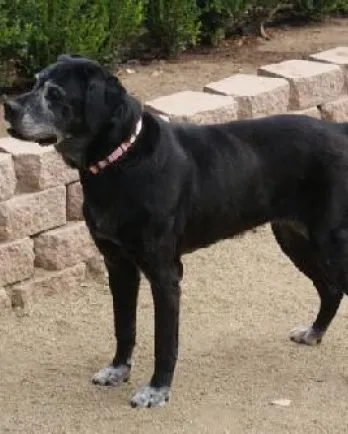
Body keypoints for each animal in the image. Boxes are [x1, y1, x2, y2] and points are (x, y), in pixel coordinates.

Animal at [4, 54, 348, 406]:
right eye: (35, 82)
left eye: (56, 93)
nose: (9, 107)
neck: (120, 160)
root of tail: (340, 129)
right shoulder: (118, 265)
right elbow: (124, 325)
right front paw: (117, 370)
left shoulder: (164, 273)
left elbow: (164, 341)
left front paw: (157, 390)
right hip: (293, 237)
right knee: (331, 290)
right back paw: (314, 332)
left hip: (331, 243)